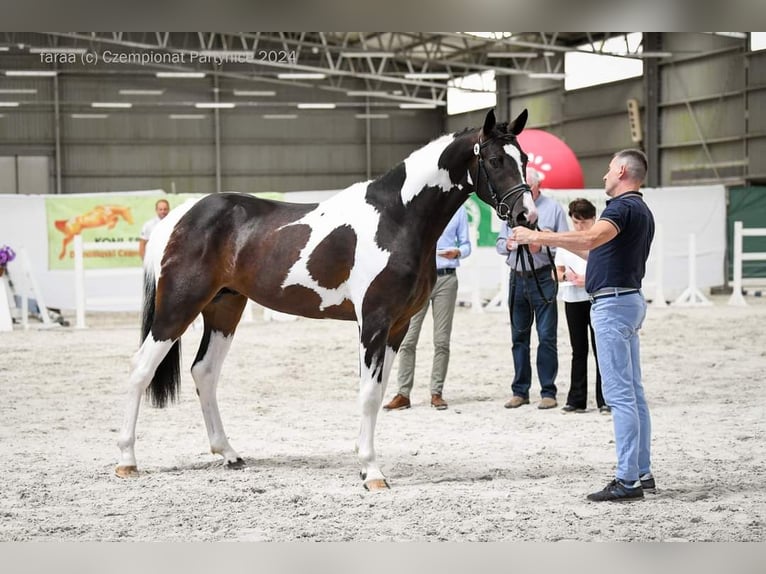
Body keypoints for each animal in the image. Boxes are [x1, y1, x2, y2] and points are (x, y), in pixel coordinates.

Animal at [117, 108, 540, 490]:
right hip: (178, 307)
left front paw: (363, 460)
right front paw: (371, 472)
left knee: (204, 371)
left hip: (224, 307)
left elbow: (379, 392)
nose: (527, 216)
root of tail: (177, 218)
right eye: (496, 160)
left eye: (525, 160)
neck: (397, 217)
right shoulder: (374, 322)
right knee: (140, 370)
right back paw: (127, 461)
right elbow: (368, 395)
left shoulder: (398, 326)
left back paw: (229, 454)